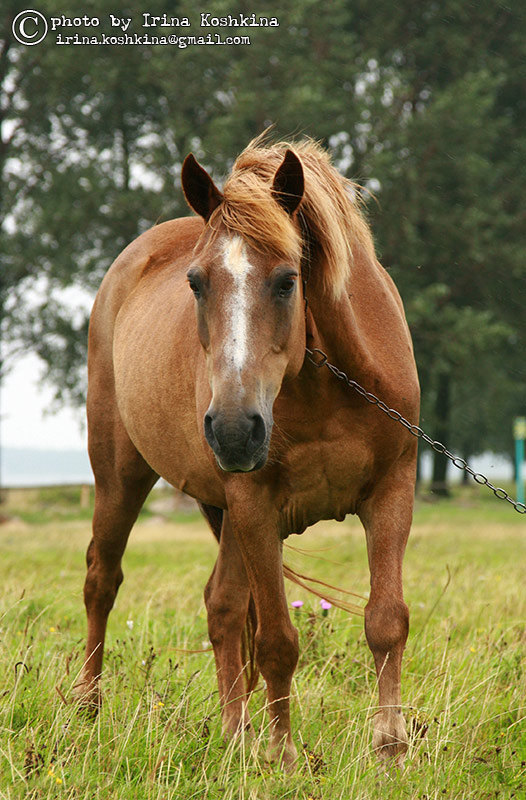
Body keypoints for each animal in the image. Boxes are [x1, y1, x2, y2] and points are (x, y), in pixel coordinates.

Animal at [78, 136, 422, 768]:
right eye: (196, 282)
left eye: (287, 280)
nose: (235, 430)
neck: (324, 386)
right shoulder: (256, 505)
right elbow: (277, 641)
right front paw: (283, 757)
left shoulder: (392, 493)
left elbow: (386, 620)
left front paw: (390, 751)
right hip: (122, 476)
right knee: (102, 581)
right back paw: (86, 709)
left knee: (222, 605)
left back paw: (234, 731)